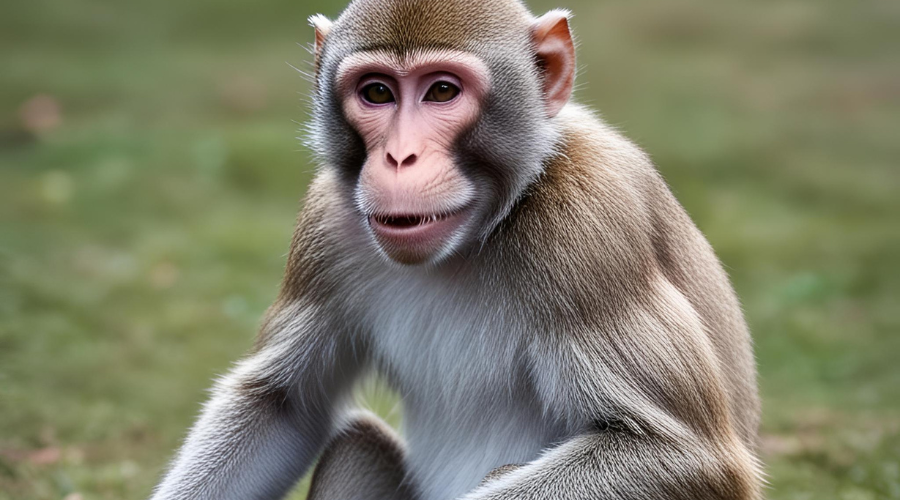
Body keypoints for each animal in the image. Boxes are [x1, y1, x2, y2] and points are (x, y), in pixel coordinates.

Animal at [150, 0, 763, 499]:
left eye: (442, 90)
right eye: (377, 92)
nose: (399, 157)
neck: (477, 236)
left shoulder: (588, 230)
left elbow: (678, 454)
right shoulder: (327, 224)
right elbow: (283, 405)